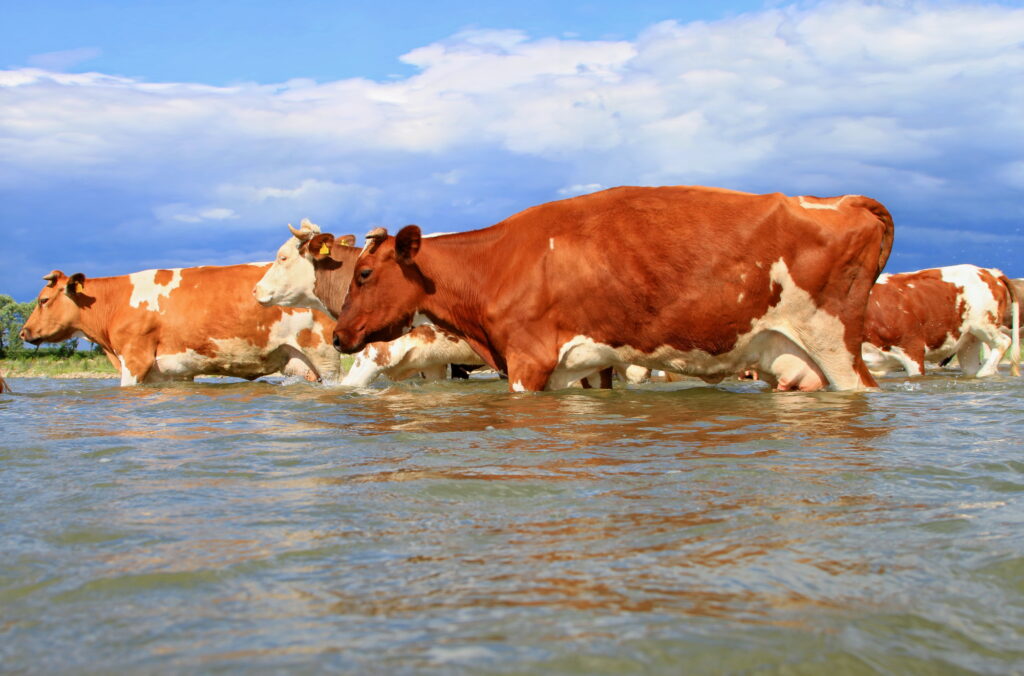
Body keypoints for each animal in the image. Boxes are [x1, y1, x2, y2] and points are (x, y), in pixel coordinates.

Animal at [331, 187, 892, 393]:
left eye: (365, 273)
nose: (338, 335)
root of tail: (841, 200)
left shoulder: (528, 360)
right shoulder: (573, 365)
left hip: (835, 344)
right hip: (793, 358)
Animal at [864, 264, 1015, 376]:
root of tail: (991, 272)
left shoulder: (912, 349)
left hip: (983, 325)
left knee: (1003, 342)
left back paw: (984, 373)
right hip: (969, 342)